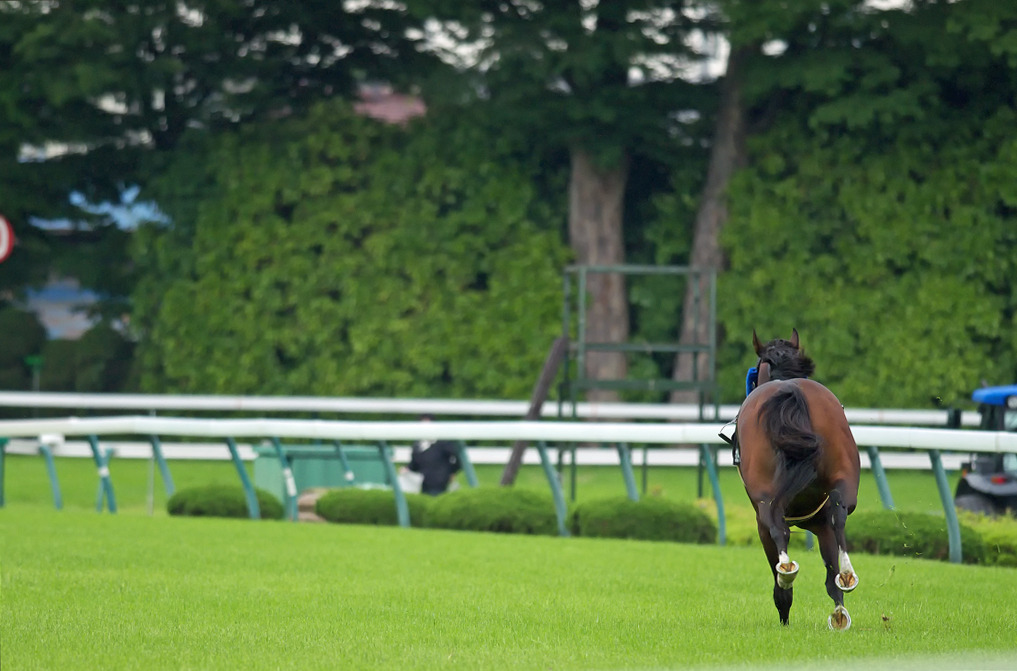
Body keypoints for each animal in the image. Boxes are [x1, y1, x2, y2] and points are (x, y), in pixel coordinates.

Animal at [736, 329, 862, 630]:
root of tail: (789, 390)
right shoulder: (822, 524)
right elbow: (831, 572)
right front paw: (839, 610)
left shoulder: (761, 521)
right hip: (845, 477)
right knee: (840, 513)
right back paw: (848, 575)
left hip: (764, 499)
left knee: (776, 527)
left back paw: (786, 571)